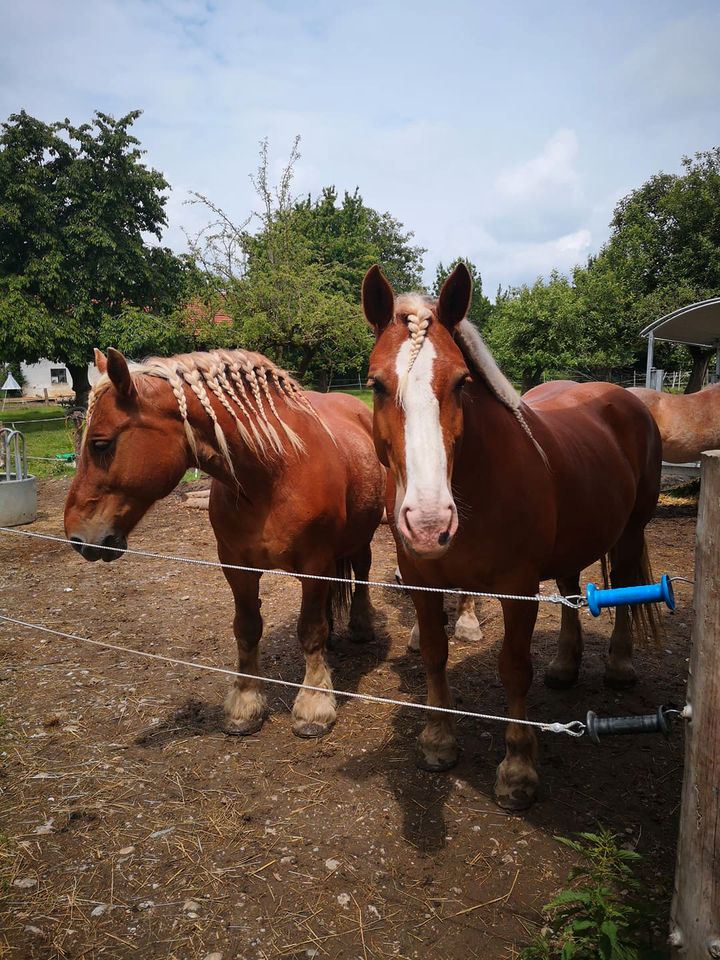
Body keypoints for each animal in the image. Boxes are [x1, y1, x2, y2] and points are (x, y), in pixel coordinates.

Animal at [64, 348, 386, 740]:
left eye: (101, 444)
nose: (77, 536)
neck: (273, 474)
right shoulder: (236, 567)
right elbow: (246, 629)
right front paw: (245, 705)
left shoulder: (314, 565)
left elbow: (310, 631)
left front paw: (313, 705)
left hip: (360, 538)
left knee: (362, 571)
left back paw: (360, 626)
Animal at [366, 262, 664, 808]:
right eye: (376, 383)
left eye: (461, 382)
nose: (429, 522)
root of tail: (623, 397)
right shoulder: (422, 581)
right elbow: (434, 653)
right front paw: (438, 742)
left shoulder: (518, 589)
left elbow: (514, 668)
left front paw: (519, 769)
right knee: (570, 591)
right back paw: (565, 668)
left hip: (632, 529)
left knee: (627, 587)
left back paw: (619, 665)